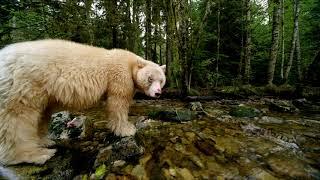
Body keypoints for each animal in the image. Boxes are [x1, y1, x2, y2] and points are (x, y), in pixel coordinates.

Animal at [0, 39, 165, 166]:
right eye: (150, 78)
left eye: (162, 80)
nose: (158, 93)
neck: (131, 62)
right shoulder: (119, 75)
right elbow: (118, 103)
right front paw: (127, 129)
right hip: (26, 81)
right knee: (17, 116)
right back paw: (36, 154)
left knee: (42, 113)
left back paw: (46, 141)